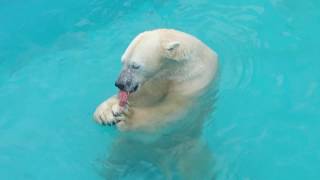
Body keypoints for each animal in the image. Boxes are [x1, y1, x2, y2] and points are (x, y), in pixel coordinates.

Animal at [92, 28, 218, 179]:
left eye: (135, 66)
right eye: (123, 61)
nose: (119, 83)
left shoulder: (193, 82)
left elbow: (173, 109)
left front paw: (129, 117)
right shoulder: (157, 79)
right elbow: (142, 97)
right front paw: (105, 113)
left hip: (187, 144)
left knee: (195, 167)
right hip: (128, 144)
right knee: (116, 159)